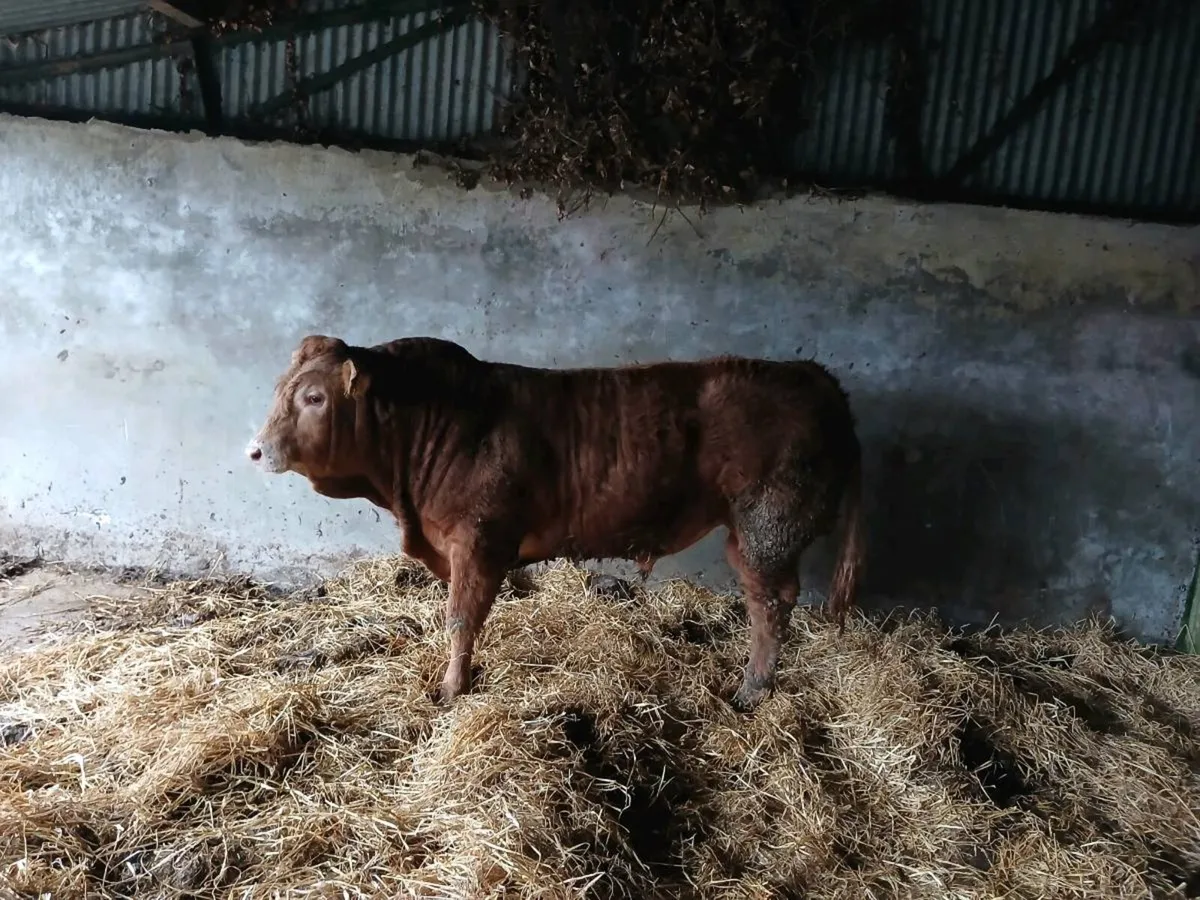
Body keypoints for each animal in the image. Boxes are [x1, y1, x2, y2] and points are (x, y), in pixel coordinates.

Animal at [246, 334, 864, 712]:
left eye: (314, 397)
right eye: (279, 388)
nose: (254, 450)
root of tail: (812, 375)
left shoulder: (478, 539)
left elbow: (460, 620)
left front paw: (451, 689)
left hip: (766, 525)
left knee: (771, 603)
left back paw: (753, 690)